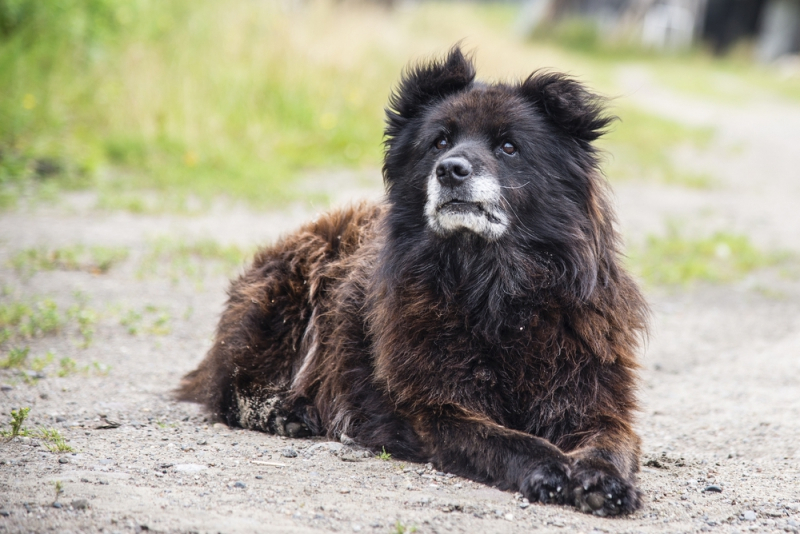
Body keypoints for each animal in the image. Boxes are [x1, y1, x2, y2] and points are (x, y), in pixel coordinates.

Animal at [178, 48, 648, 516]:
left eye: (509, 147)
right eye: (439, 141)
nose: (450, 169)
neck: (493, 290)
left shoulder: (595, 401)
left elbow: (611, 442)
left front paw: (603, 480)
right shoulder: (433, 408)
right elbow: (505, 439)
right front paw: (550, 466)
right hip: (289, 296)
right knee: (229, 387)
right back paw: (285, 411)